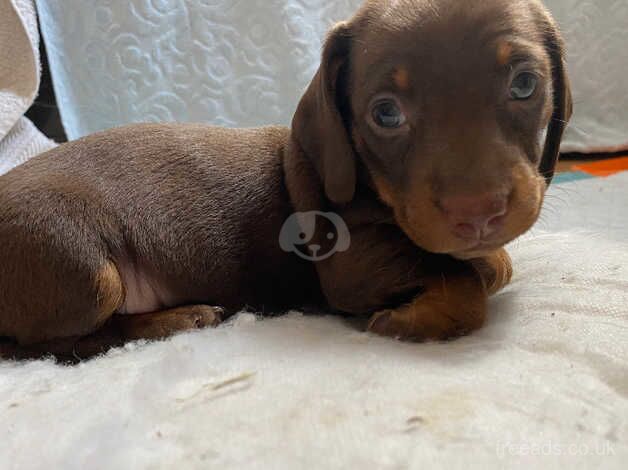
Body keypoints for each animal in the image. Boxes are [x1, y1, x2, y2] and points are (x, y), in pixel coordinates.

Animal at [0, 0, 568, 360]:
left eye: (524, 84)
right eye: (385, 113)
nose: (479, 213)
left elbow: (488, 264)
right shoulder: (351, 265)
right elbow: (464, 277)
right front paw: (418, 320)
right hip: (84, 266)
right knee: (57, 345)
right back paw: (176, 320)